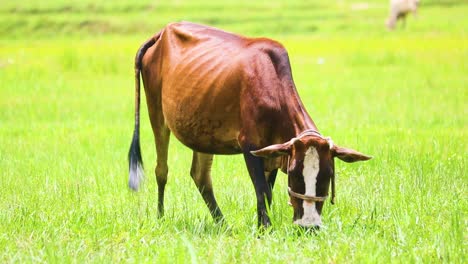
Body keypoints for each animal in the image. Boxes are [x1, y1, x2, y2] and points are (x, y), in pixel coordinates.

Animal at [127, 22, 370, 229]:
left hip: (203, 131)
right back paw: (161, 217)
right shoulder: (249, 145)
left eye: (329, 174)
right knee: (162, 170)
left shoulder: (274, 151)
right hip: (156, 112)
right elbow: (262, 191)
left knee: (200, 176)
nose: (309, 226)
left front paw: (262, 226)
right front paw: (266, 228)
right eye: (294, 172)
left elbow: (267, 192)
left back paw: (223, 225)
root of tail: (161, 33)